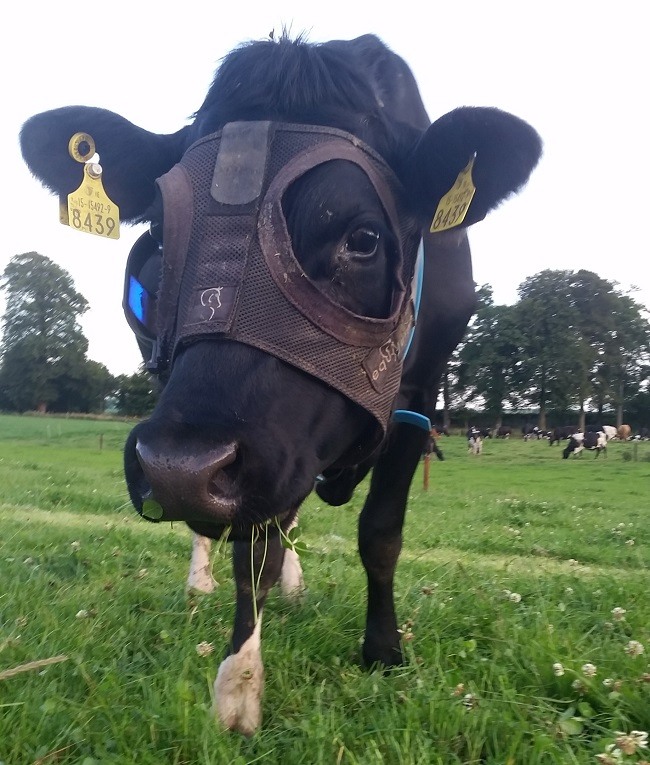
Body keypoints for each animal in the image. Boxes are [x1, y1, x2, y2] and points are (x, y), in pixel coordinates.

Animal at [19, 33, 541, 735]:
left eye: (364, 238)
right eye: (160, 235)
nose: (178, 469)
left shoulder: (421, 396)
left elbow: (380, 532)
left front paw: (383, 650)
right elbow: (252, 550)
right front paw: (239, 686)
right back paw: (203, 578)